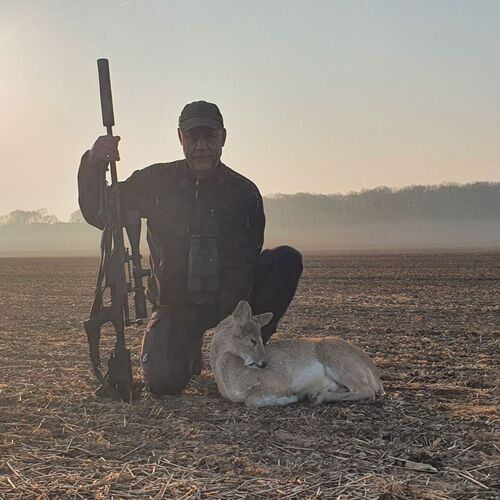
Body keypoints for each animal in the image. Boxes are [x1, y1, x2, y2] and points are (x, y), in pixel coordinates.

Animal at [210, 300, 384, 408]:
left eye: (261, 338)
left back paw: (317, 397)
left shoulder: (276, 383)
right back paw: (315, 394)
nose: (263, 363)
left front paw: (290, 398)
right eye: (252, 340)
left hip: (339, 362)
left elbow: (250, 400)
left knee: (366, 390)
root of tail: (375, 375)